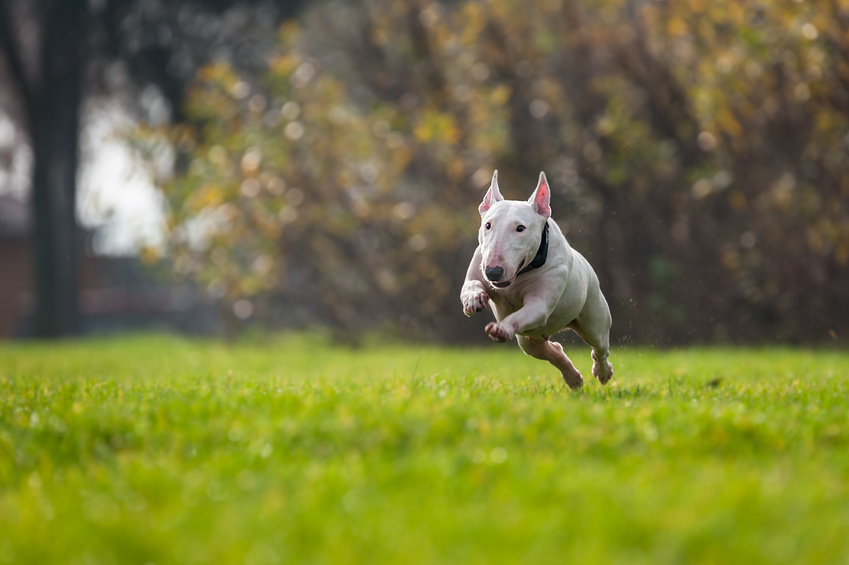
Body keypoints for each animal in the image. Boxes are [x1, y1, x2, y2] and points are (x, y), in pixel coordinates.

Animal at [460, 169, 612, 388]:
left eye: (520, 228)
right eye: (488, 225)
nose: (493, 272)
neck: (520, 274)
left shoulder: (539, 304)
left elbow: (523, 313)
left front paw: (502, 328)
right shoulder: (479, 263)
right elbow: (470, 284)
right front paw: (473, 298)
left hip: (593, 321)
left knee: (600, 348)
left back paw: (602, 372)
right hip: (529, 338)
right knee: (550, 350)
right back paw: (573, 378)